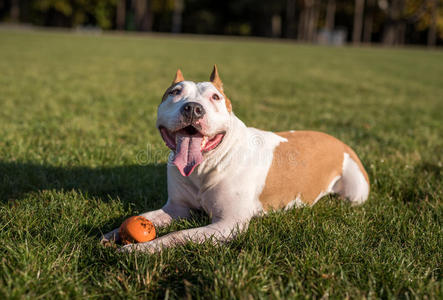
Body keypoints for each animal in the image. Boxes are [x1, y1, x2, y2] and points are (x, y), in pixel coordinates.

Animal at [102, 66, 370, 253]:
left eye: (215, 97)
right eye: (174, 93)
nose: (193, 108)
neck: (205, 165)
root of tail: (339, 140)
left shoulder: (228, 224)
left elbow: (178, 235)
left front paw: (142, 249)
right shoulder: (177, 208)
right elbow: (148, 216)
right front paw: (112, 234)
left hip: (355, 192)